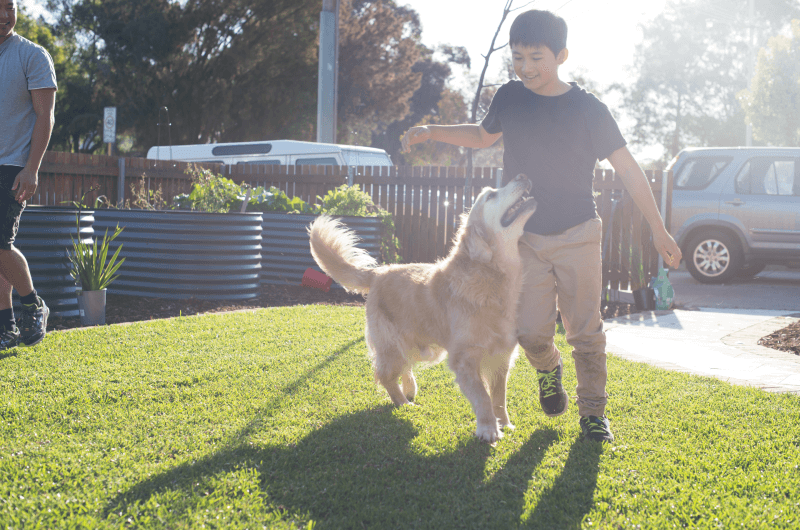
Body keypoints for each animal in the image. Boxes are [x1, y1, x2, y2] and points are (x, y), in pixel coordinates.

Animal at [306, 174, 536, 442]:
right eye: (491, 195)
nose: (522, 175)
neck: (490, 278)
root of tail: (379, 272)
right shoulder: (464, 358)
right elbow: (483, 396)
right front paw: (488, 429)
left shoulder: (502, 357)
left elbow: (499, 397)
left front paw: (505, 424)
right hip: (392, 346)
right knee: (385, 376)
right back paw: (403, 403)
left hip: (419, 347)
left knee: (404, 367)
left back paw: (410, 389)